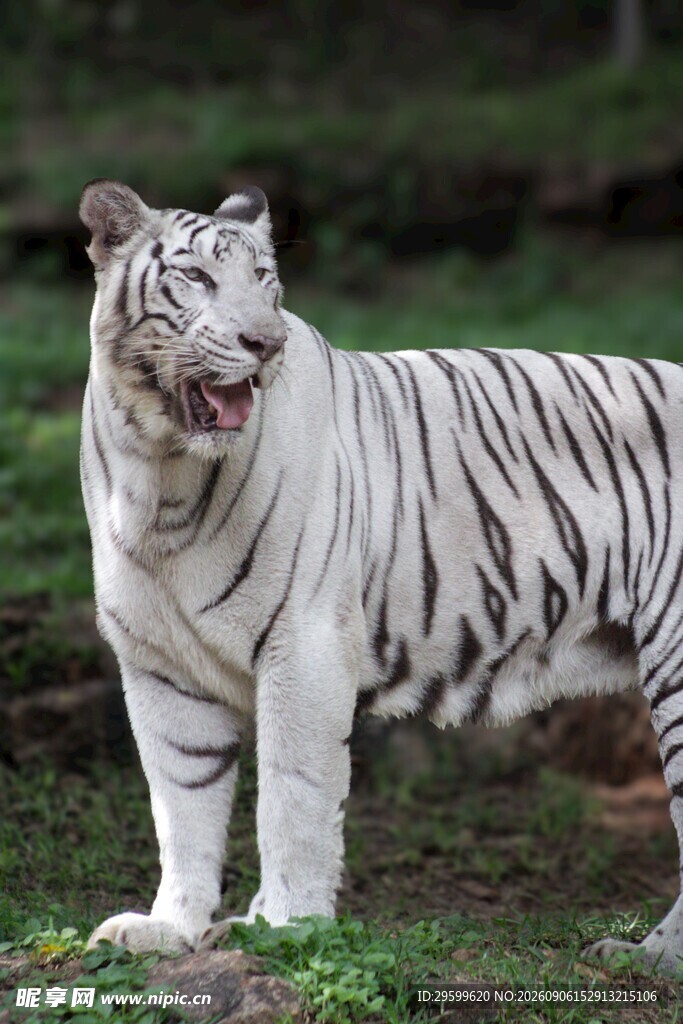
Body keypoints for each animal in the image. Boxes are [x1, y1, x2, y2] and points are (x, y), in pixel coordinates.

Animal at [79, 178, 683, 972]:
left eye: (264, 280)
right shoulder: (158, 663)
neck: (161, 475)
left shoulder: (303, 643)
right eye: (198, 277)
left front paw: (281, 928)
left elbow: (292, 799)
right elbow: (181, 803)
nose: (265, 344)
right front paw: (169, 928)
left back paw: (652, 958)